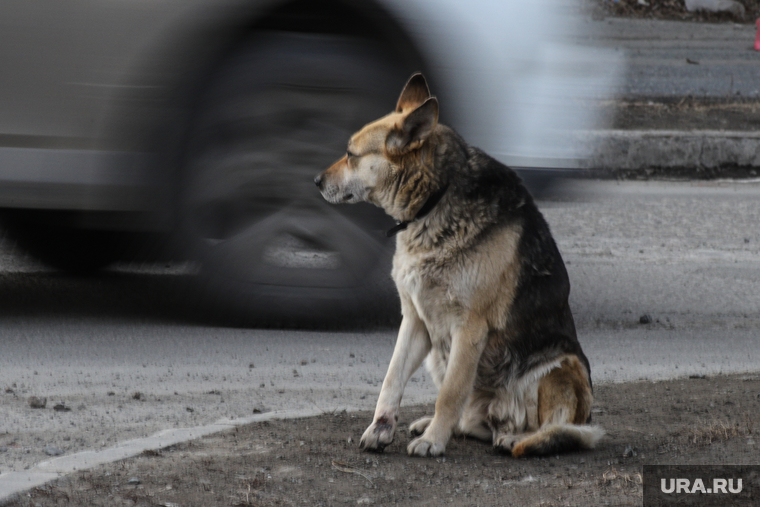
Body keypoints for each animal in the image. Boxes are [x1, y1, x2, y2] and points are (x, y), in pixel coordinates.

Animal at [312, 73, 604, 458]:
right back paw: (449, 425)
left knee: (553, 428)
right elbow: (392, 380)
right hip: (439, 357)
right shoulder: (414, 320)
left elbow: (449, 395)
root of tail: (498, 416)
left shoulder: (470, 328)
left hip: (563, 367)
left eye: (350, 155)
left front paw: (434, 441)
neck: (433, 202)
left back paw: (515, 438)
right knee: (473, 423)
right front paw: (381, 428)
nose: (316, 181)